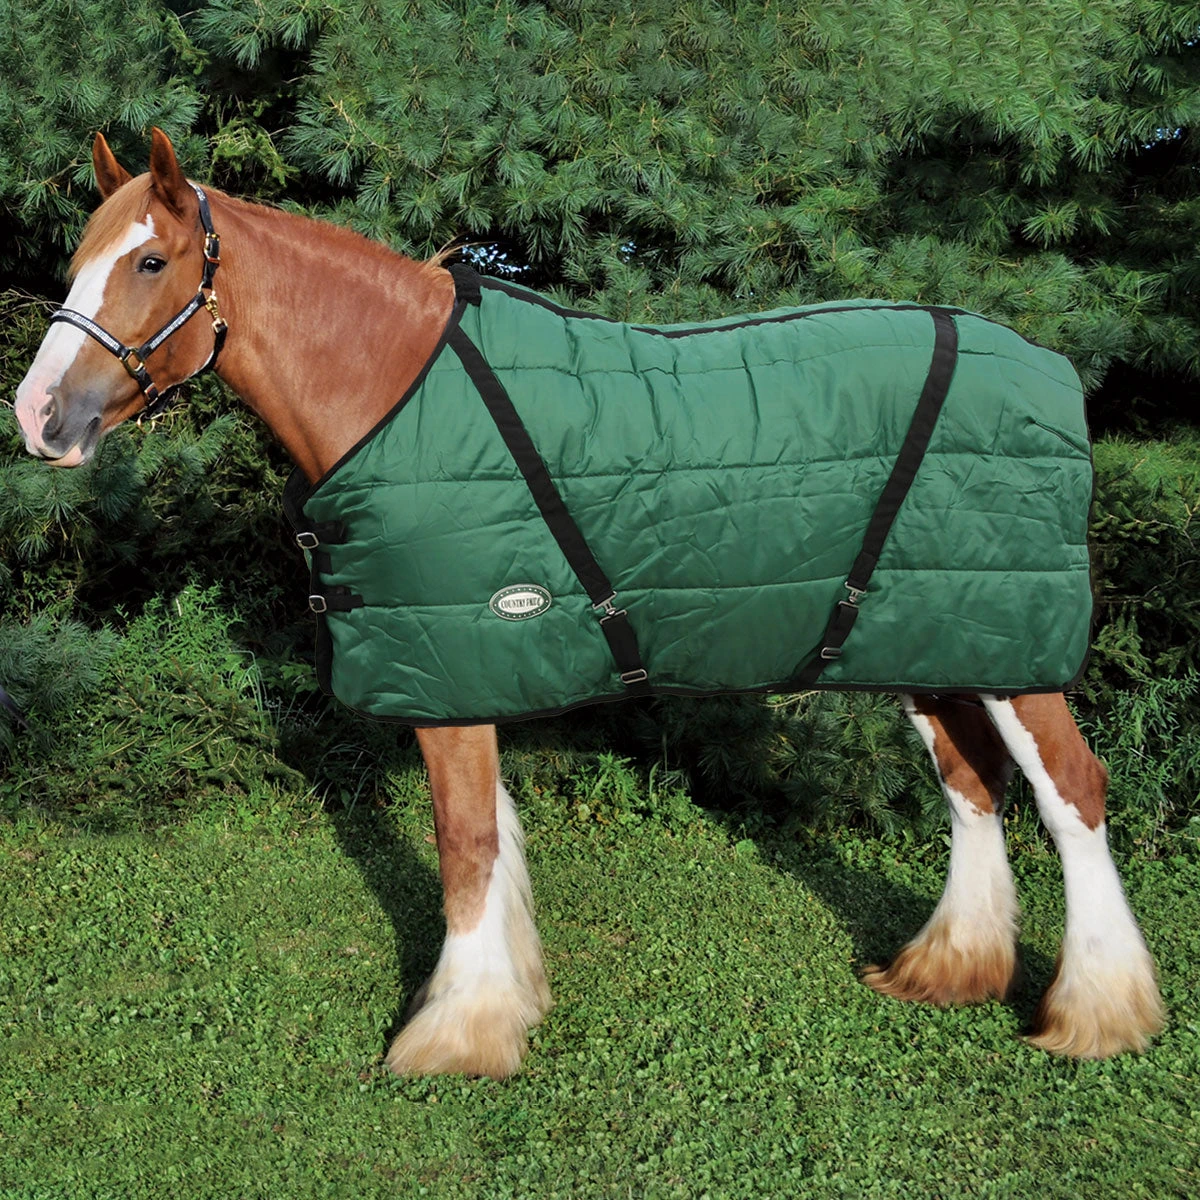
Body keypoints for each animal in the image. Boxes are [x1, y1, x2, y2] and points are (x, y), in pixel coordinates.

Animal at [13, 128, 1164, 1077]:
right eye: (75, 263)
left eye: (151, 262)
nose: (37, 416)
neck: (393, 389)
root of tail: (1049, 368)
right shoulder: (468, 670)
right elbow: (493, 842)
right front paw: (505, 1005)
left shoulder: (452, 675)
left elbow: (467, 846)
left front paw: (453, 1038)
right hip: (939, 639)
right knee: (973, 786)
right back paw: (948, 971)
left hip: (1012, 653)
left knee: (1072, 791)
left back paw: (1098, 1016)